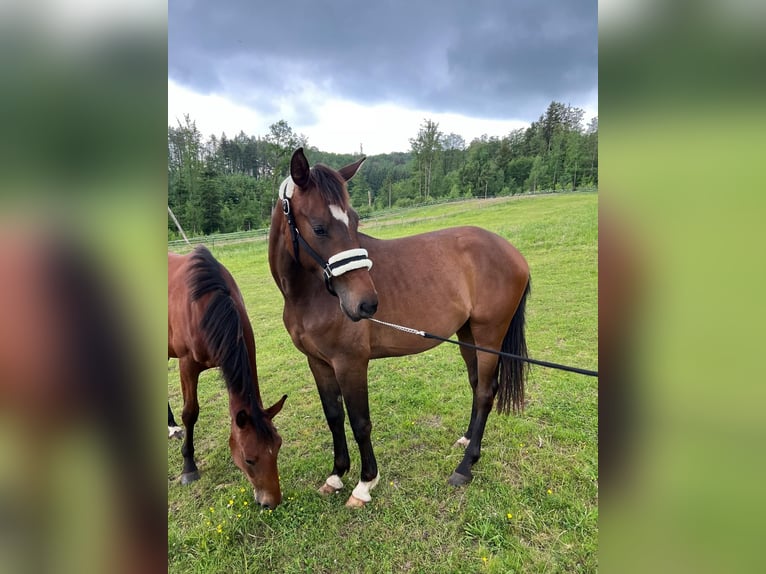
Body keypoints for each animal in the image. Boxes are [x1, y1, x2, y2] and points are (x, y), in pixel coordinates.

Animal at [169, 245, 288, 510]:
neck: (205, 304)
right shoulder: (186, 364)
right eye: (249, 459)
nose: (271, 502)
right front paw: (189, 467)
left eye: (278, 447)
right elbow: (190, 413)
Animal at [268, 148, 532, 508]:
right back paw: (466, 441)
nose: (366, 304)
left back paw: (465, 467)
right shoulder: (318, 363)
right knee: (477, 384)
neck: (310, 294)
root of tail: (513, 253)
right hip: (468, 336)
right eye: (319, 227)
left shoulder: (350, 363)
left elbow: (360, 423)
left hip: (489, 335)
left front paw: (365, 483)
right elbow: (334, 417)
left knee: (486, 392)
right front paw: (336, 475)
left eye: (355, 220)